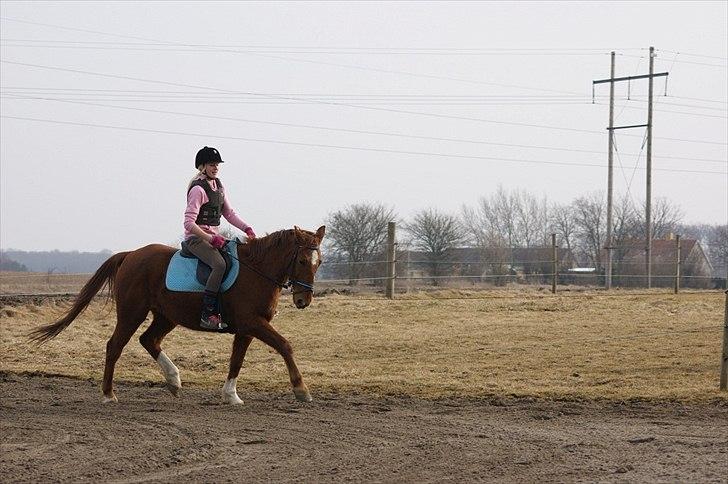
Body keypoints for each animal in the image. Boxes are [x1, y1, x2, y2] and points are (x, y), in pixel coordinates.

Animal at [29, 226, 322, 404]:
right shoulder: (253, 323)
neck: (256, 271)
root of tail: (131, 255)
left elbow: (236, 361)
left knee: (149, 340)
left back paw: (173, 381)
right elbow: (285, 345)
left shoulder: (246, 328)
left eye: (319, 262)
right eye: (302, 261)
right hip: (132, 313)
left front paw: (230, 395)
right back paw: (109, 394)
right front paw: (301, 389)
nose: (303, 300)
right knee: (115, 346)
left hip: (165, 316)